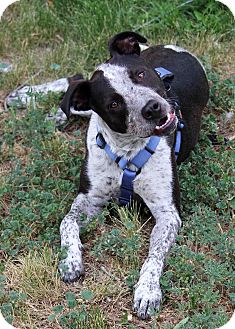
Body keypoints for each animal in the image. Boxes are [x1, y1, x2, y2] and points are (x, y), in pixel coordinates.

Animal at [7, 31, 209, 318]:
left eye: (139, 74)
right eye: (114, 103)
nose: (152, 108)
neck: (127, 150)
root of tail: (166, 46)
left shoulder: (167, 214)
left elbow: (154, 255)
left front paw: (147, 291)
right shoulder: (89, 200)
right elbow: (66, 222)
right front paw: (70, 260)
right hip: (83, 104)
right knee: (74, 82)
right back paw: (27, 97)